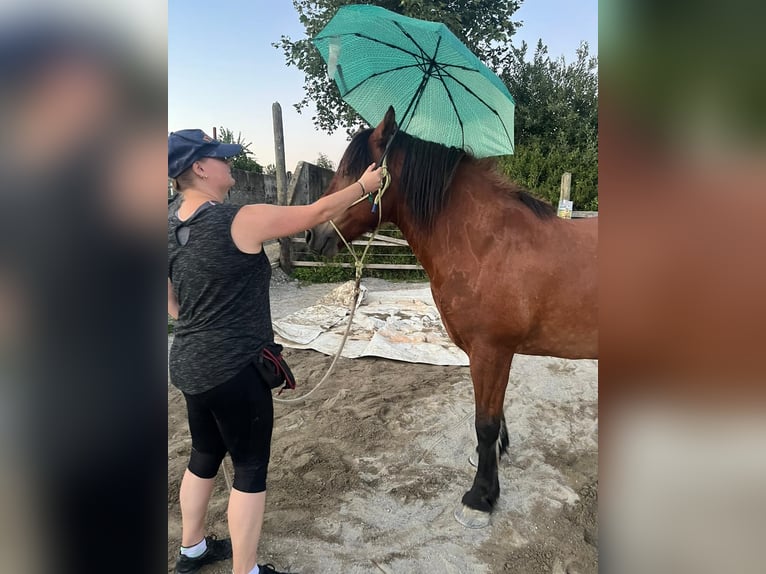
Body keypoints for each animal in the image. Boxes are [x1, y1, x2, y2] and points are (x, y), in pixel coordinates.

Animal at [306, 108, 600, 532]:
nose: (312, 234)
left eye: (351, 170)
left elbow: (485, 423)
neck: (487, 244)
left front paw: (479, 498)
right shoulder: (491, 354)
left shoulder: (491, 351)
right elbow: (492, 418)